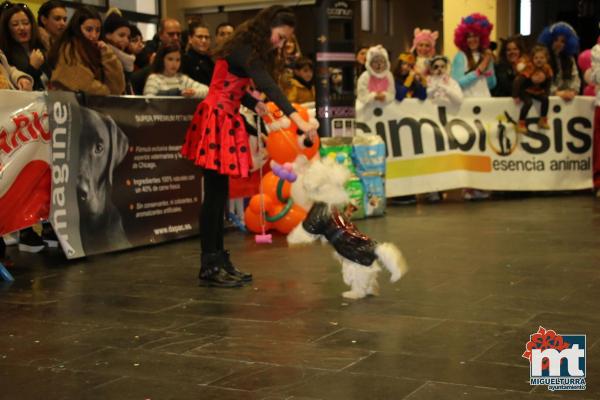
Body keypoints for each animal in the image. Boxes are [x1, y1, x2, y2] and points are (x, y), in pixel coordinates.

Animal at [286, 158, 408, 298]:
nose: (301, 165)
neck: (327, 193)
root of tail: (374, 249)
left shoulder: (313, 223)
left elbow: (301, 233)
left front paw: (291, 239)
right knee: (370, 281)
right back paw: (371, 291)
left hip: (354, 269)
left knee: (360, 286)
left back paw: (352, 294)